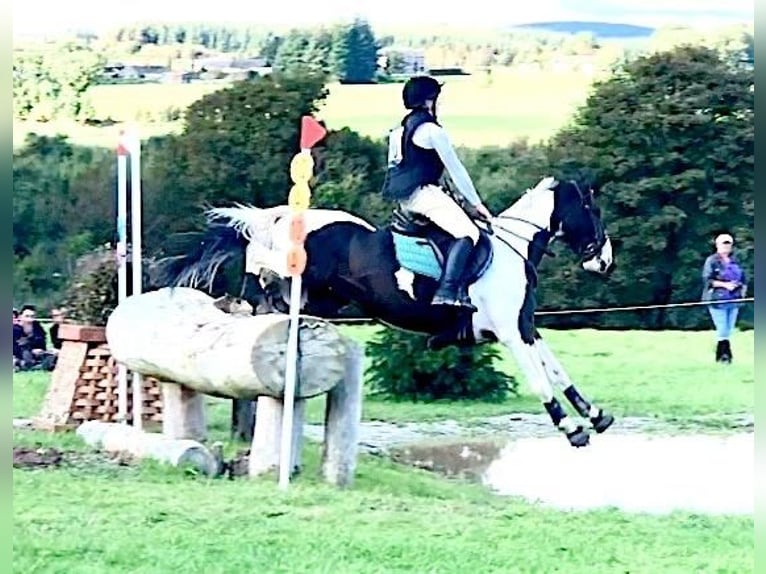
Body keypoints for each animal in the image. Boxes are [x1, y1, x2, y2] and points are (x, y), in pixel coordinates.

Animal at [156, 178, 616, 448]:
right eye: (591, 211)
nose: (605, 261)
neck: (512, 250)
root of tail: (279, 219)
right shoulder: (509, 330)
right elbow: (540, 377)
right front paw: (571, 429)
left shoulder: (524, 326)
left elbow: (555, 368)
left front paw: (595, 415)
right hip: (298, 288)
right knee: (263, 304)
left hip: (320, 298)